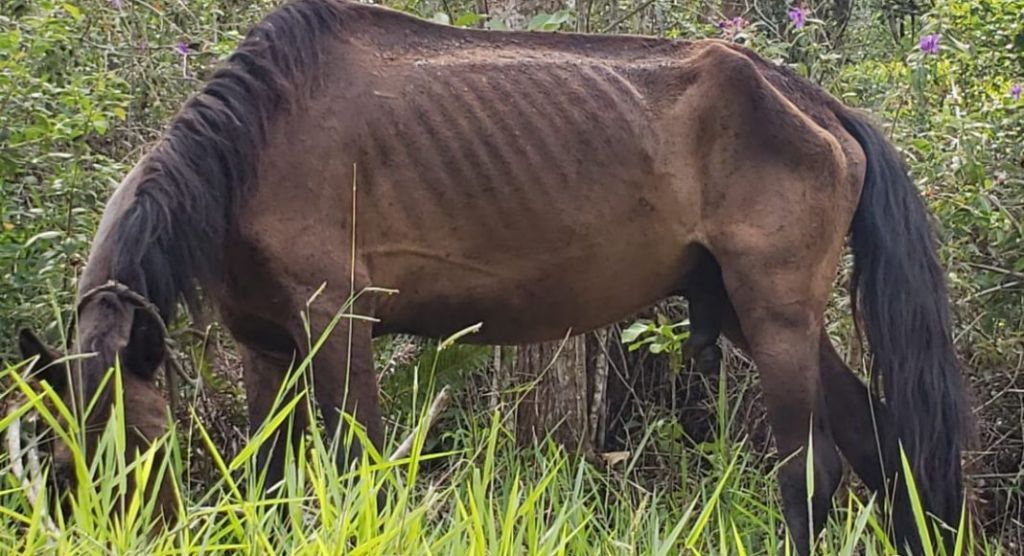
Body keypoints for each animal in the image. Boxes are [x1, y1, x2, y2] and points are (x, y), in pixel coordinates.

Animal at [19, 2, 970, 552]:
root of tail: (811, 101)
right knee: (879, 441)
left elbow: (358, 470)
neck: (250, 146)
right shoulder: (265, 344)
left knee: (811, 470)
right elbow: (275, 479)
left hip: (776, 316)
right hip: (747, 310)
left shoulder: (336, 326)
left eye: (141, 448)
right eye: (56, 468)